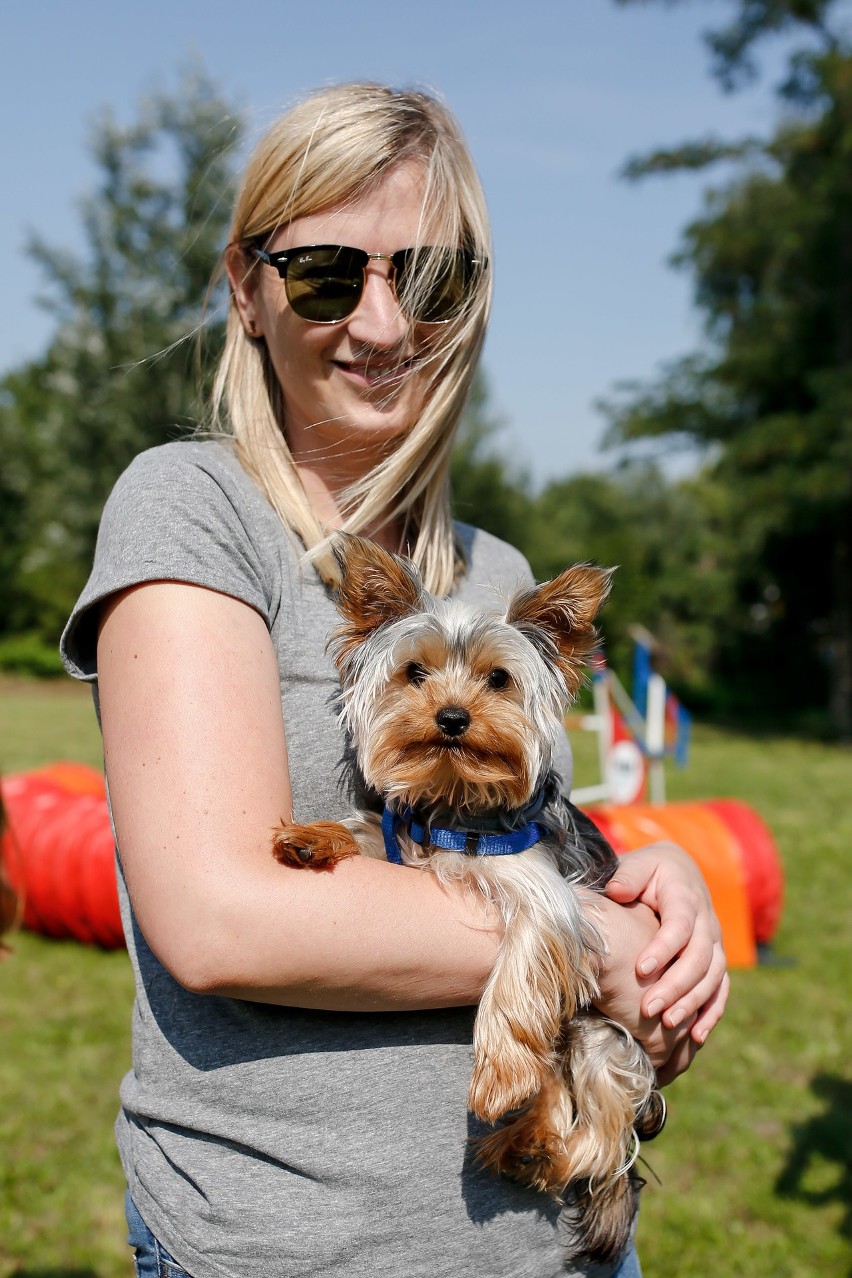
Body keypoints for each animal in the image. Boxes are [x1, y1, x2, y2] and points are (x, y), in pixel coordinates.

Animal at [273, 531, 664, 1257]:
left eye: (498, 679)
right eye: (414, 674)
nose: (452, 718)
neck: (453, 796)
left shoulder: (545, 894)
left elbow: (520, 976)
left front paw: (498, 1075)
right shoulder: (405, 839)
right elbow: (367, 829)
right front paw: (311, 838)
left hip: (605, 1039)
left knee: (602, 1124)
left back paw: (536, 1141)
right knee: (554, 1073)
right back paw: (525, 1142)